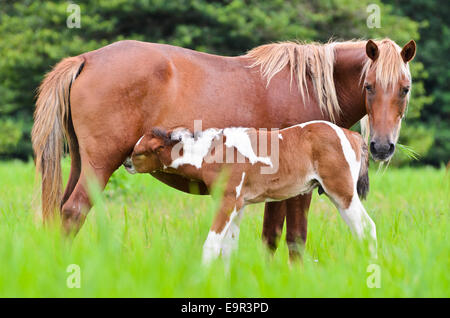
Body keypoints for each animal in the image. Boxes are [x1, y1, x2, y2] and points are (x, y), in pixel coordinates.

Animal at [124, 120, 376, 262]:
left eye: (139, 152)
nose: (126, 163)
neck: (212, 153)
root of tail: (352, 135)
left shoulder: (228, 202)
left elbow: (211, 245)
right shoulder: (239, 205)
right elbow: (229, 248)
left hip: (342, 192)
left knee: (366, 227)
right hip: (338, 196)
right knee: (361, 229)